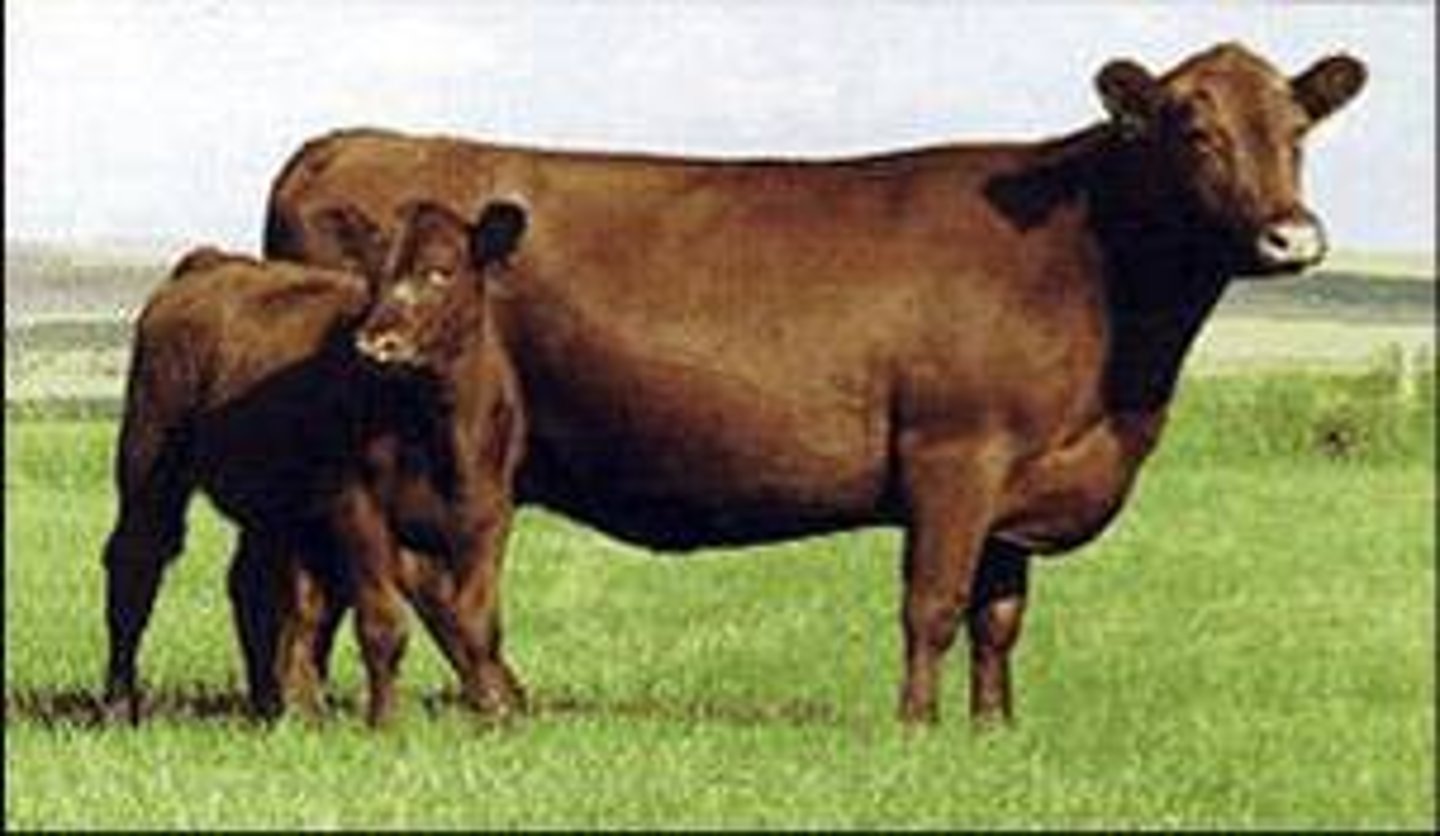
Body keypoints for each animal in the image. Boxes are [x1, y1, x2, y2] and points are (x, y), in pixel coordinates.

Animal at [101, 201, 530, 725]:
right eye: (372, 277)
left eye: (439, 272)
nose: (375, 344)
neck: (438, 426)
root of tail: (211, 262)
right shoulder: (357, 506)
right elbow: (383, 621)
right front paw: (385, 723)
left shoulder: (491, 512)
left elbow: (477, 623)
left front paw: (494, 716)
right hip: (149, 454)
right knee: (135, 561)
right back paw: (120, 704)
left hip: (273, 506)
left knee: (252, 585)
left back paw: (276, 706)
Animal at [262, 43, 1366, 725]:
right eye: (1192, 129)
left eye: (1297, 130)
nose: (1293, 235)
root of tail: (344, 141)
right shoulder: (955, 455)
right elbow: (934, 601)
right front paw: (917, 728)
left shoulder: (1023, 480)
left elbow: (1000, 616)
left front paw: (995, 730)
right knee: (351, 576)